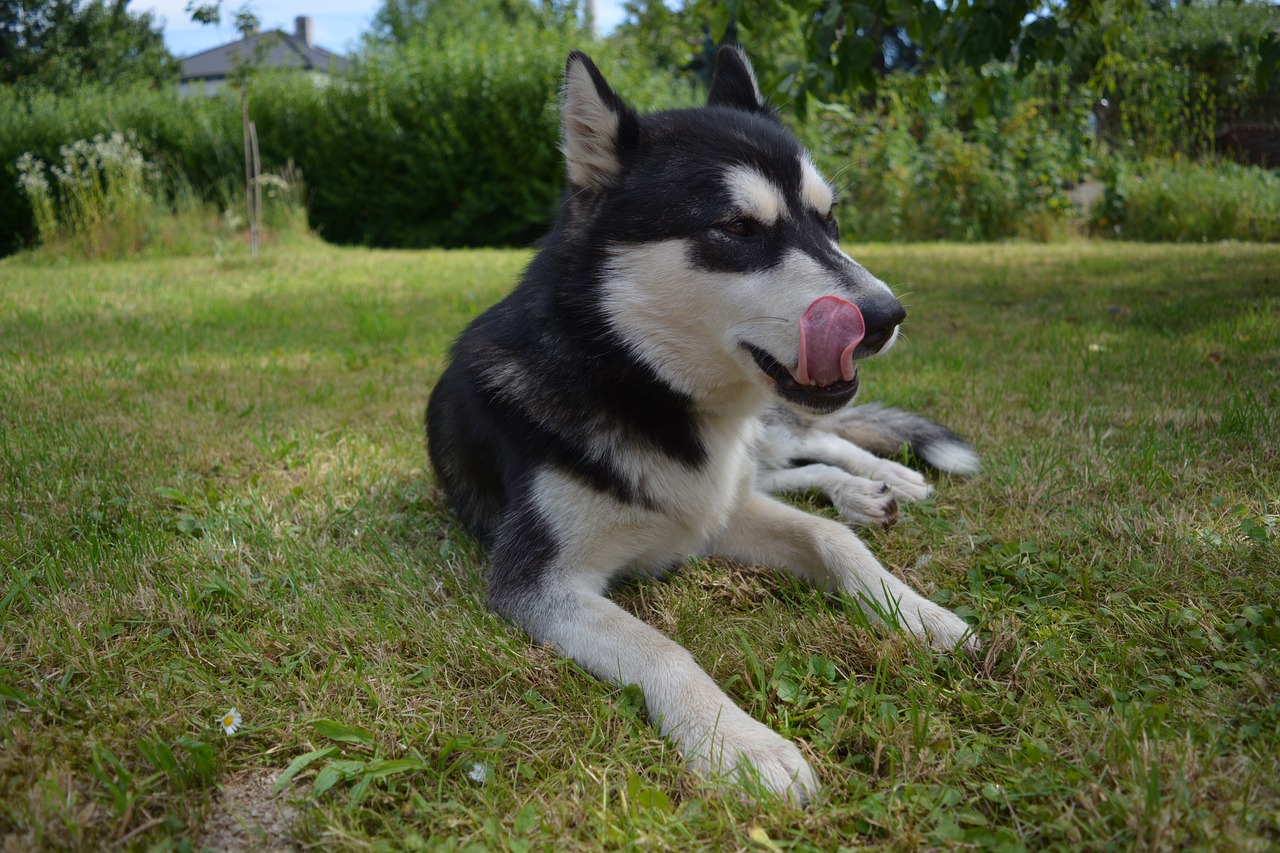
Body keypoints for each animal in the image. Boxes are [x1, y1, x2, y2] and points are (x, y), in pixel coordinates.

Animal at [424, 46, 972, 804]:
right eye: (737, 228)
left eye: (829, 220)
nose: (886, 316)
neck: (640, 381)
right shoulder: (537, 581)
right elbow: (663, 646)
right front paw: (742, 743)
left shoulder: (716, 512)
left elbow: (831, 539)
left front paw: (916, 611)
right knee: (798, 466)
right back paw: (864, 492)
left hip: (771, 436)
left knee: (817, 442)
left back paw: (884, 478)